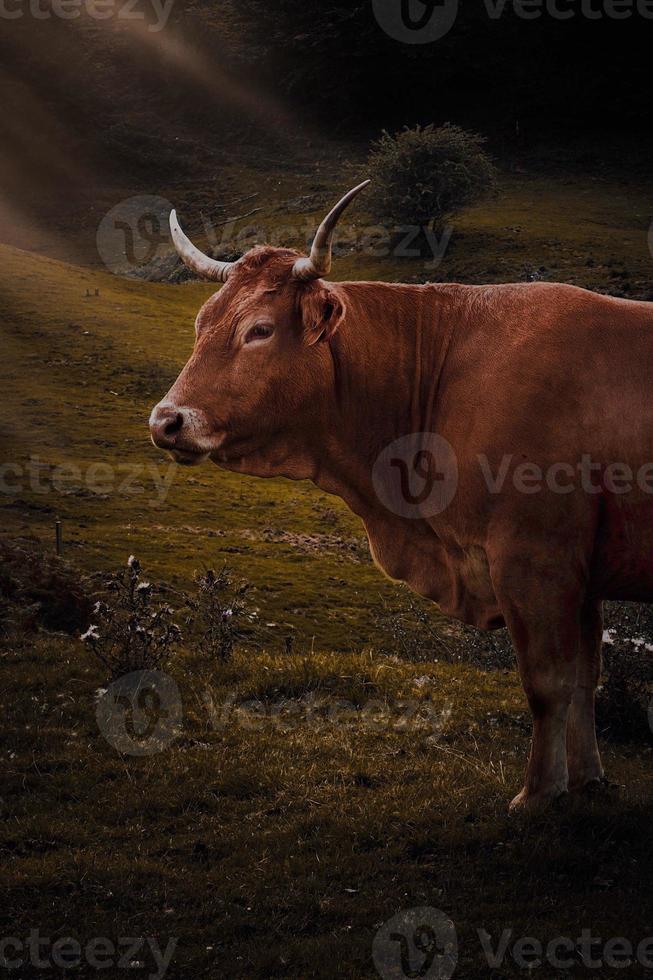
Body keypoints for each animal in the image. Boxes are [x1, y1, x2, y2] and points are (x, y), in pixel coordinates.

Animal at [150, 184, 652, 812]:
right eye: (202, 322)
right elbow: (586, 679)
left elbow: (548, 684)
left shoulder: (535, 559)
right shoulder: (581, 572)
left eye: (259, 330)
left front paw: (538, 794)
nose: (166, 421)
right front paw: (585, 782)